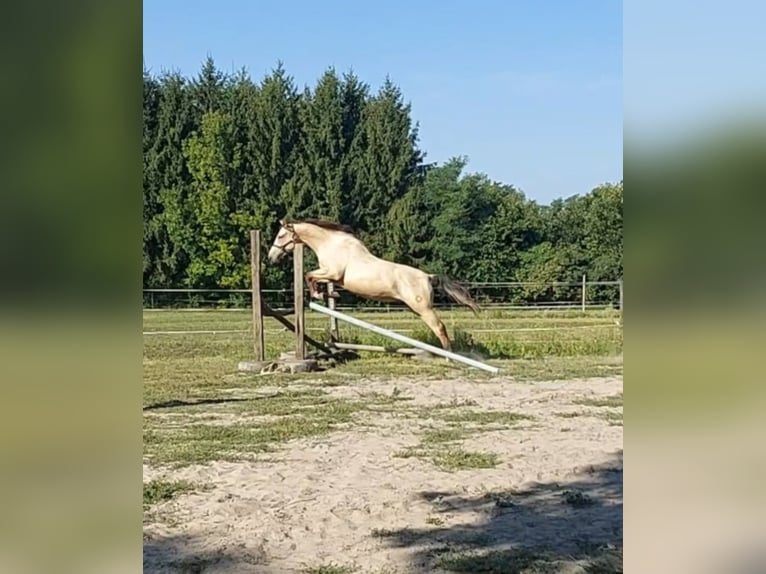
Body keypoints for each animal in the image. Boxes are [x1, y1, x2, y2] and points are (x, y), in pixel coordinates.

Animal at [268, 219, 476, 352]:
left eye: (280, 236)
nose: (271, 257)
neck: (330, 244)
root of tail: (427, 276)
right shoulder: (333, 277)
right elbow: (315, 279)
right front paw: (327, 295)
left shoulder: (332, 272)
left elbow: (308, 275)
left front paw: (317, 295)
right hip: (417, 309)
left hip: (423, 308)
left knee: (439, 327)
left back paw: (448, 355)